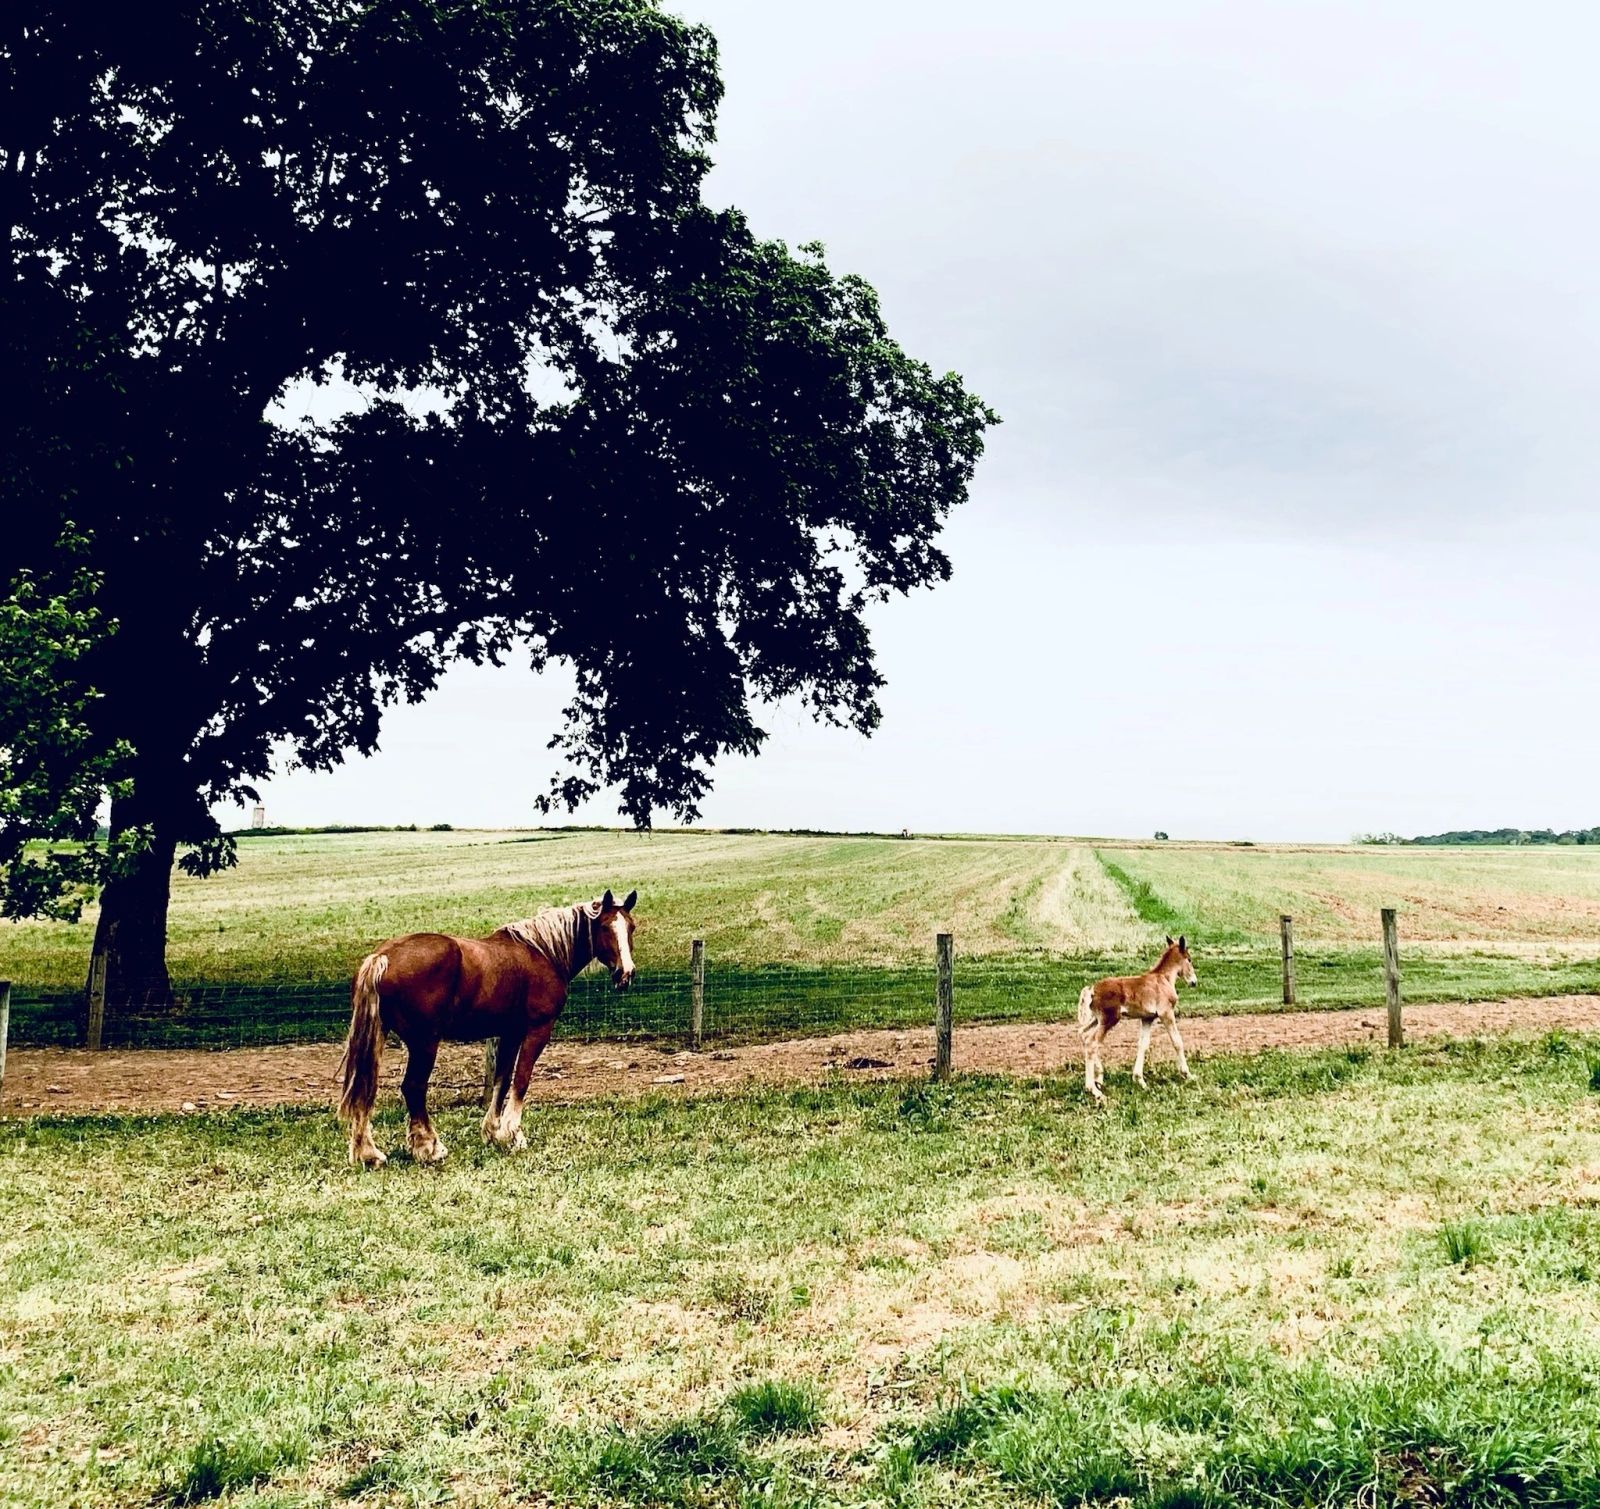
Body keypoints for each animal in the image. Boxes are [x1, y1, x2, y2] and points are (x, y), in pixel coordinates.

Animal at [336, 888, 637, 1167]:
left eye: (631, 927)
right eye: (605, 927)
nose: (626, 973)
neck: (542, 952)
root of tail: (381, 957)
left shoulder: (509, 1033)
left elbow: (502, 1080)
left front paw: (494, 1132)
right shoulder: (537, 1030)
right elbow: (521, 1080)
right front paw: (512, 1134)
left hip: (379, 1037)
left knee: (364, 1089)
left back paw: (368, 1154)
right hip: (425, 1043)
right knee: (413, 1087)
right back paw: (430, 1148)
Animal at [1077, 935, 1197, 1101]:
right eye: (1189, 959)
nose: (1194, 982)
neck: (1163, 978)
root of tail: (1092, 989)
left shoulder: (1147, 1018)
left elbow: (1143, 1044)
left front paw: (1139, 1080)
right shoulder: (1166, 1013)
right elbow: (1177, 1041)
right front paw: (1188, 1074)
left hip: (1096, 1019)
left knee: (1083, 1034)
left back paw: (1099, 1078)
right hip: (1109, 1020)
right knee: (1091, 1043)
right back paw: (1094, 1090)